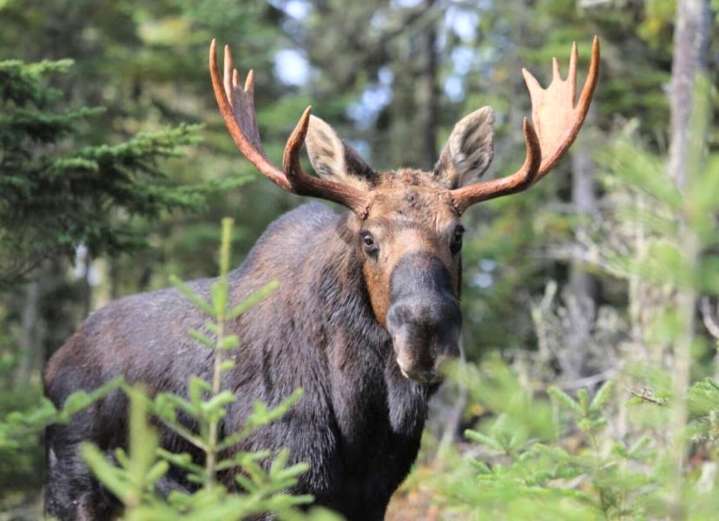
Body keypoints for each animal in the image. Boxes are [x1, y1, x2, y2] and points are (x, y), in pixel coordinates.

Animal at [44, 37, 599, 520]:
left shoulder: (372, 495)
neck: (364, 413)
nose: (425, 335)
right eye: (368, 237)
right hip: (76, 485)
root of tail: (52, 367)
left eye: (458, 234)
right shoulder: (272, 481)